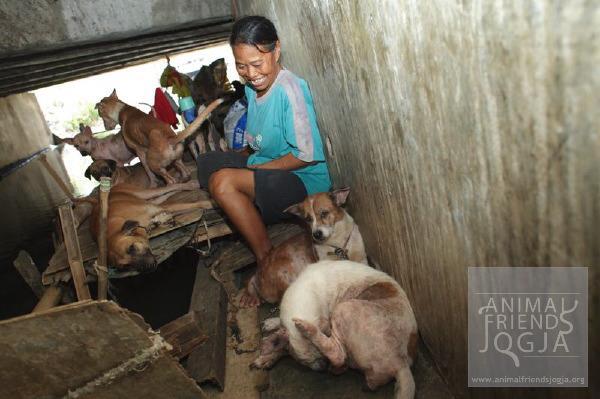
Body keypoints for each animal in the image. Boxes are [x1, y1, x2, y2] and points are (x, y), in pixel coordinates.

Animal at [253, 260, 418, 399]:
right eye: (303, 361)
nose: (324, 367)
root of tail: (402, 363)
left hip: (345, 309)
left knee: (339, 355)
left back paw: (305, 328)